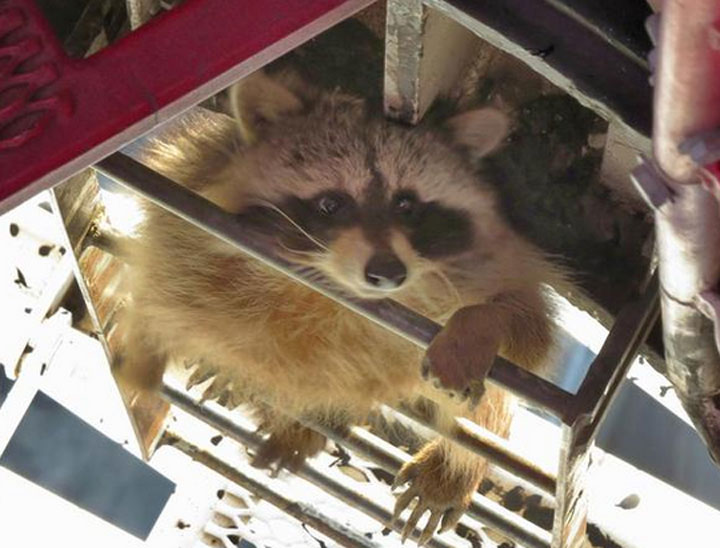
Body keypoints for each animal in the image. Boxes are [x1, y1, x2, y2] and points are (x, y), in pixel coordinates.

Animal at [118, 68, 567, 544]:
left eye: (406, 204)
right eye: (331, 203)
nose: (388, 272)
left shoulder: (502, 261)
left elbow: (528, 329)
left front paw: (476, 325)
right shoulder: (193, 185)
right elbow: (170, 274)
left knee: (487, 408)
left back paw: (453, 465)